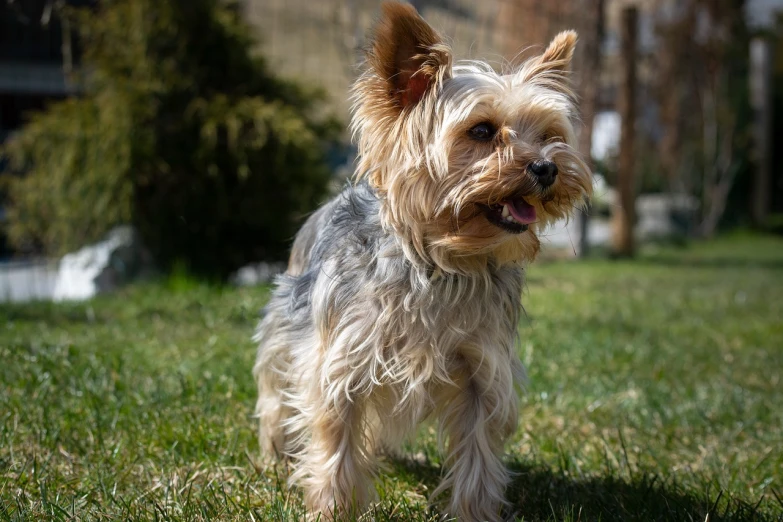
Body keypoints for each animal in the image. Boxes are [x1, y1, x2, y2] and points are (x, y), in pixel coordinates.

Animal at [254, 3, 592, 516]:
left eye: (551, 135)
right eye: (481, 131)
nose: (547, 167)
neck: (442, 263)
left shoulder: (482, 371)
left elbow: (478, 455)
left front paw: (475, 514)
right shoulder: (339, 360)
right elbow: (334, 441)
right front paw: (332, 509)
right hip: (284, 325)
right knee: (275, 391)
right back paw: (274, 451)